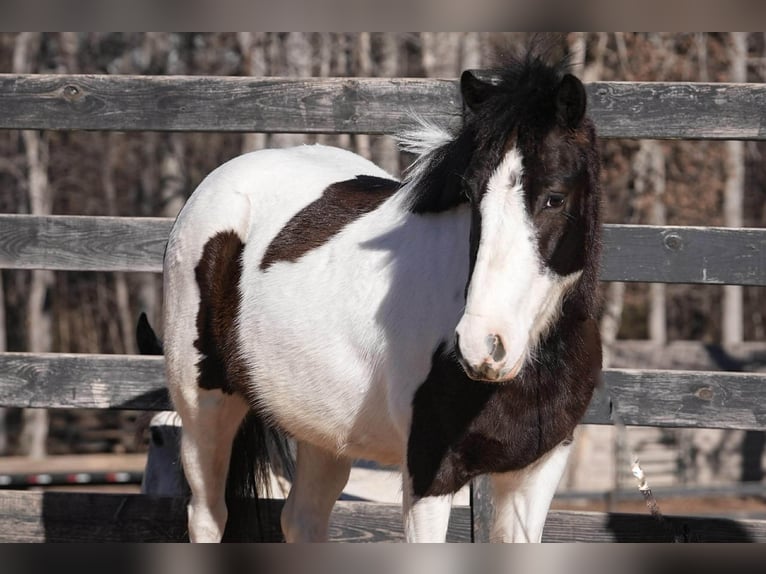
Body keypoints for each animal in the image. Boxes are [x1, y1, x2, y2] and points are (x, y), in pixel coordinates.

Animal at [159, 48, 602, 543]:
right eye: (470, 193)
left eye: (555, 197)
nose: (484, 346)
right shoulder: (429, 476)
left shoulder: (536, 473)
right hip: (205, 409)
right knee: (209, 514)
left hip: (322, 430)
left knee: (302, 517)